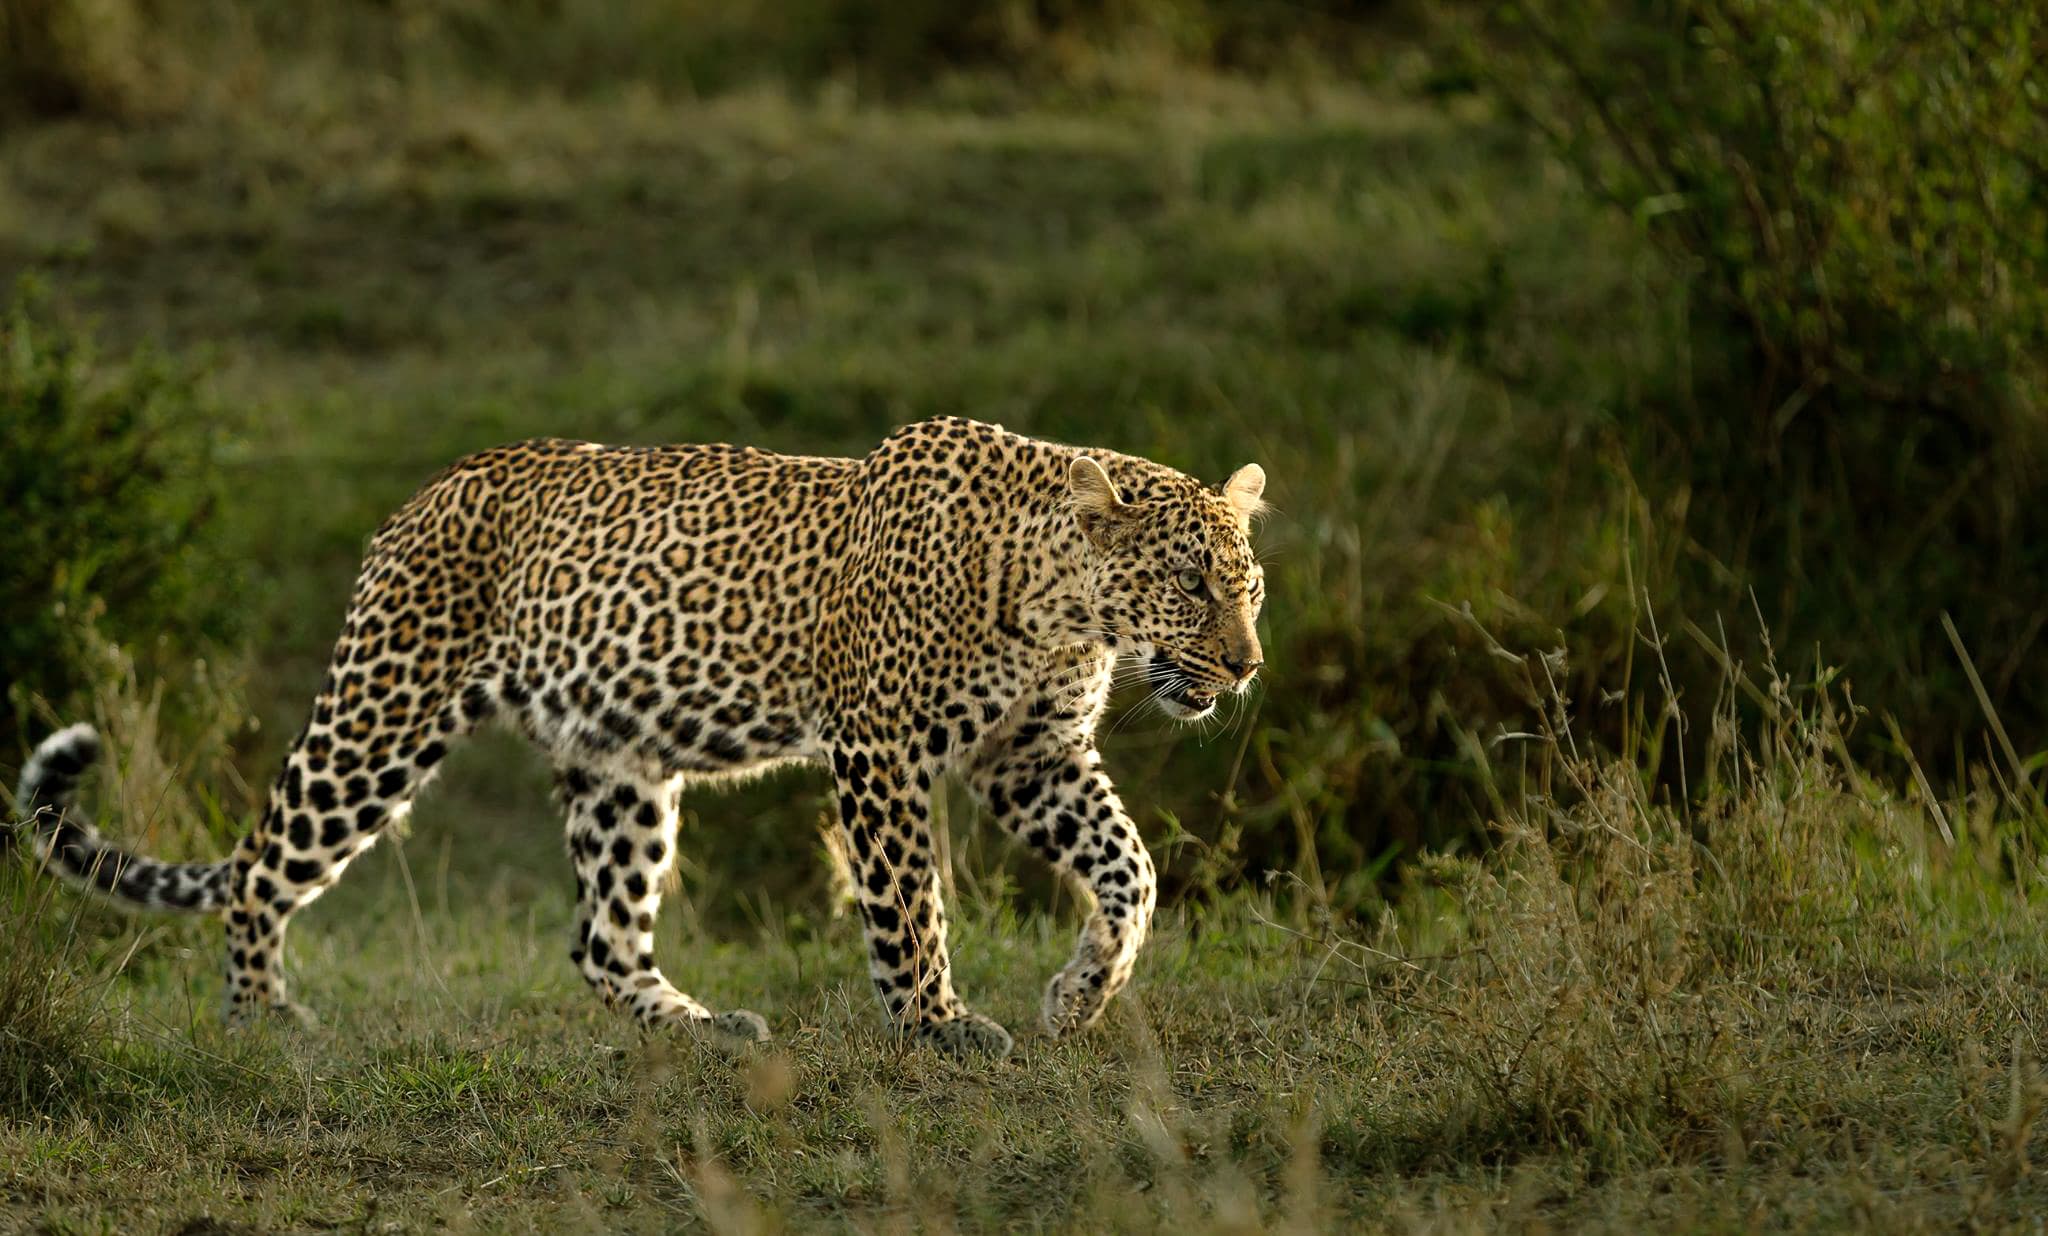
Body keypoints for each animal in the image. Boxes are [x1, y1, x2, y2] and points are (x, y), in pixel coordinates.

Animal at [12, 415, 1267, 1058]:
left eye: (1248, 585)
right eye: (1191, 584)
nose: (1247, 665)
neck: (1058, 607)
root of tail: (420, 496)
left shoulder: (1031, 757)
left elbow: (1130, 870)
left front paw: (1081, 994)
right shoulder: (881, 752)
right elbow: (911, 906)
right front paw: (935, 1025)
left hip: (620, 767)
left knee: (600, 940)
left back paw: (701, 1028)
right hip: (381, 714)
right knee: (260, 870)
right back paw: (261, 1019)